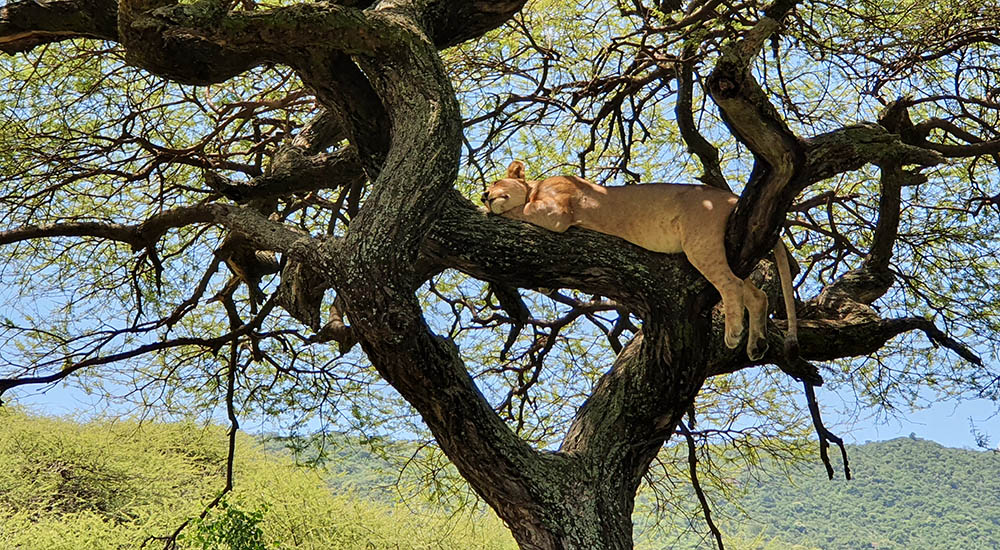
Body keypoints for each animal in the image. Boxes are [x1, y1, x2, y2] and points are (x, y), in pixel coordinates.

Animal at [482, 160, 798, 361]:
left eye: (495, 181)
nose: (484, 194)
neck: (534, 188)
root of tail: (730, 196)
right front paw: (545, 287)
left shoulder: (556, 212)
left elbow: (517, 211)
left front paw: (487, 209)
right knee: (755, 295)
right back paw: (756, 345)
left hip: (701, 243)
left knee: (731, 285)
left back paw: (734, 334)